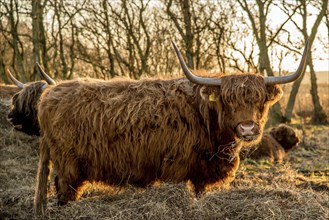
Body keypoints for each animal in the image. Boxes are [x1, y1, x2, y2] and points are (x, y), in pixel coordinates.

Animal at [7, 40, 308, 215]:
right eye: (228, 100)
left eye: (258, 101)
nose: (247, 129)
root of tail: (51, 94)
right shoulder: (188, 167)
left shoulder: (201, 169)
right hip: (68, 164)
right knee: (63, 190)